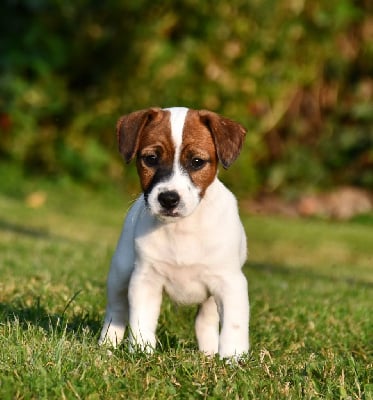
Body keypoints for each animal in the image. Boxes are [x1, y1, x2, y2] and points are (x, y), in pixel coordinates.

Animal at [100, 107, 248, 360]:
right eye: (151, 159)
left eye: (197, 162)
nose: (168, 198)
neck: (181, 228)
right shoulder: (145, 280)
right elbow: (141, 321)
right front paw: (142, 353)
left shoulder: (231, 283)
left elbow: (234, 325)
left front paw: (233, 359)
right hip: (120, 272)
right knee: (116, 311)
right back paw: (107, 345)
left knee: (204, 321)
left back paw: (208, 355)